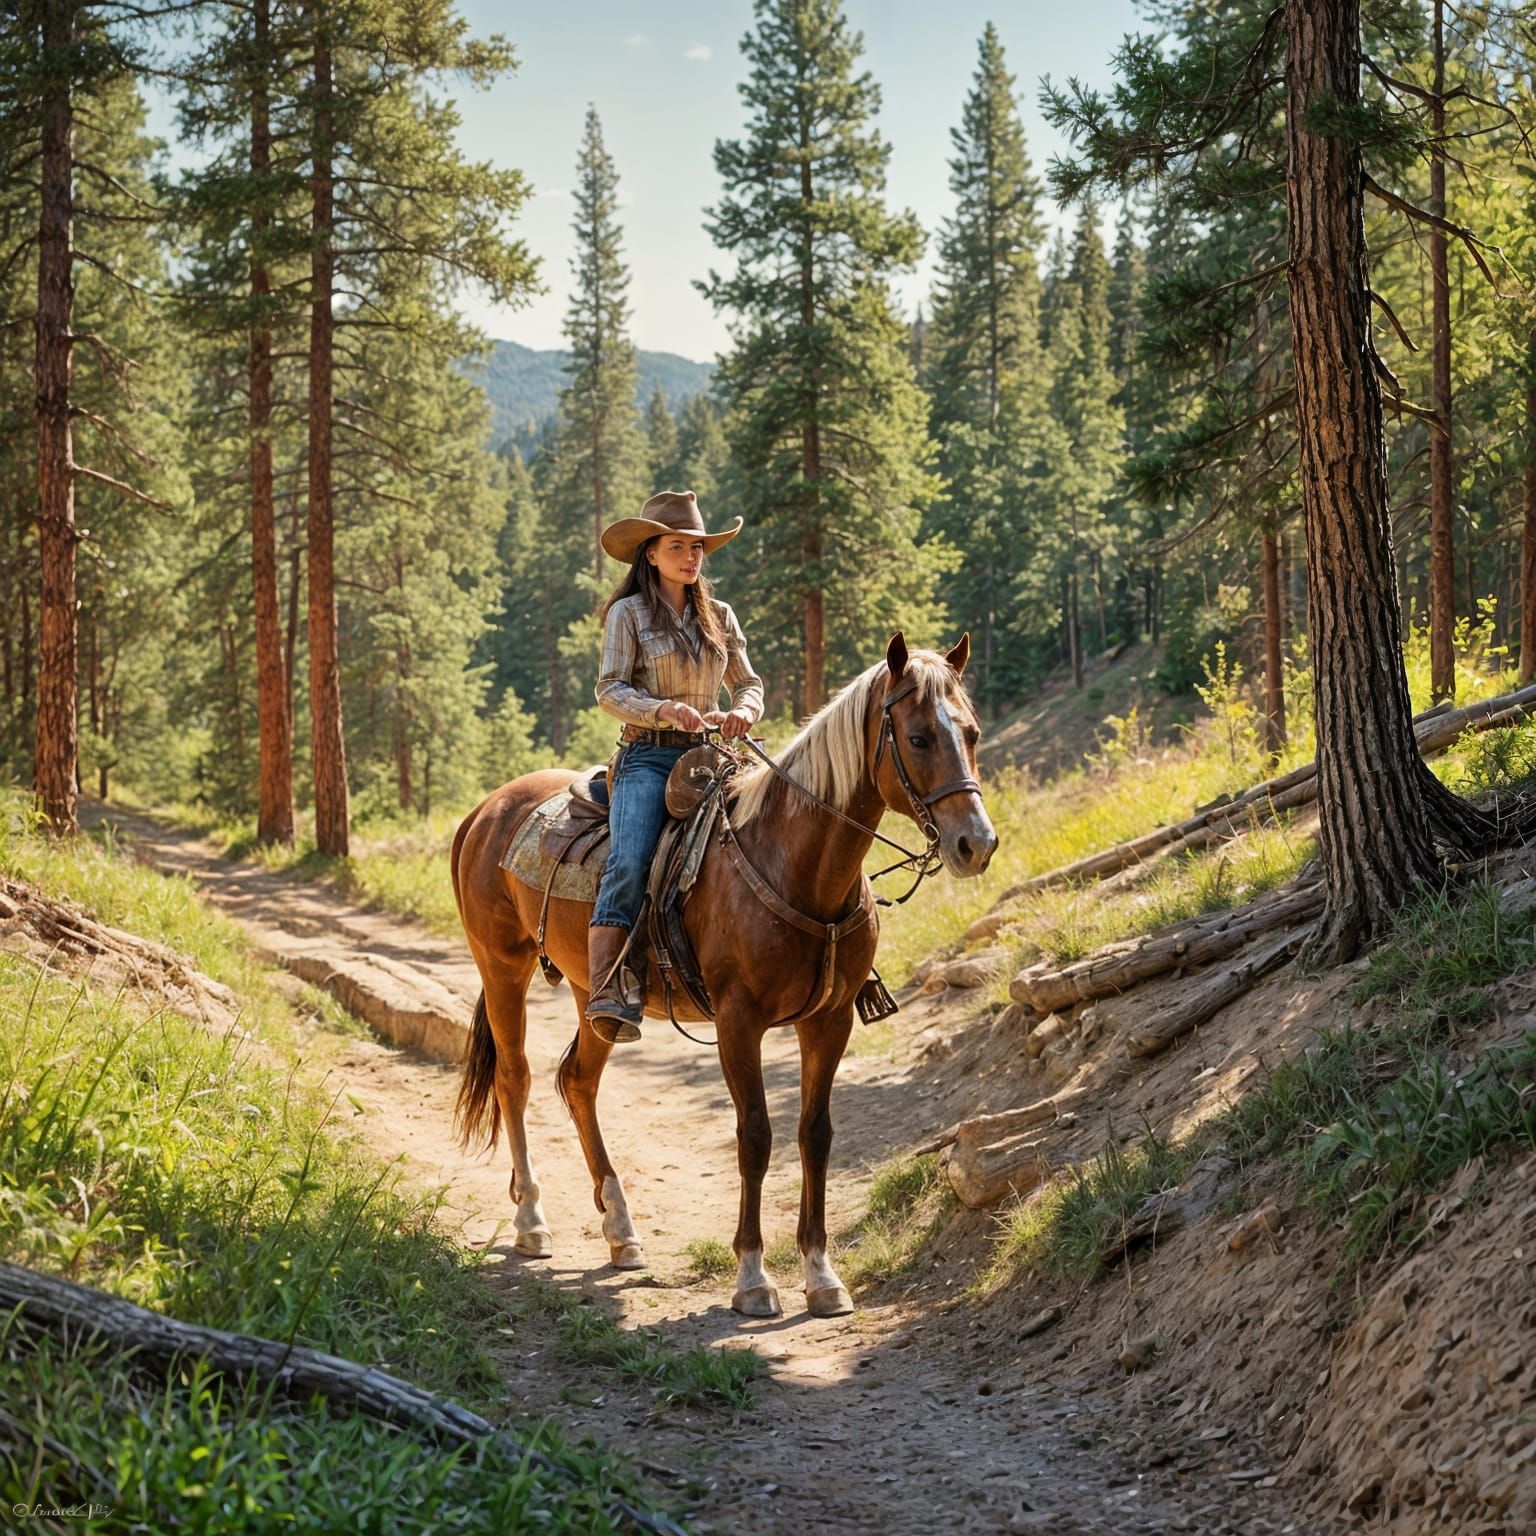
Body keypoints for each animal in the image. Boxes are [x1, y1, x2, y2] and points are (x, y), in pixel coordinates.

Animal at [450, 632, 998, 1318]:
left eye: (971, 733)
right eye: (919, 737)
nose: (976, 844)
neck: (792, 861)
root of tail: (483, 811)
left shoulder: (829, 1022)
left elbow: (814, 1134)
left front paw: (821, 1275)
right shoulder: (740, 1022)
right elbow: (755, 1136)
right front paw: (754, 1278)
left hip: (593, 996)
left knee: (577, 1081)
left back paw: (622, 1232)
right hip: (502, 967)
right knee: (515, 1079)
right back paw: (532, 1222)